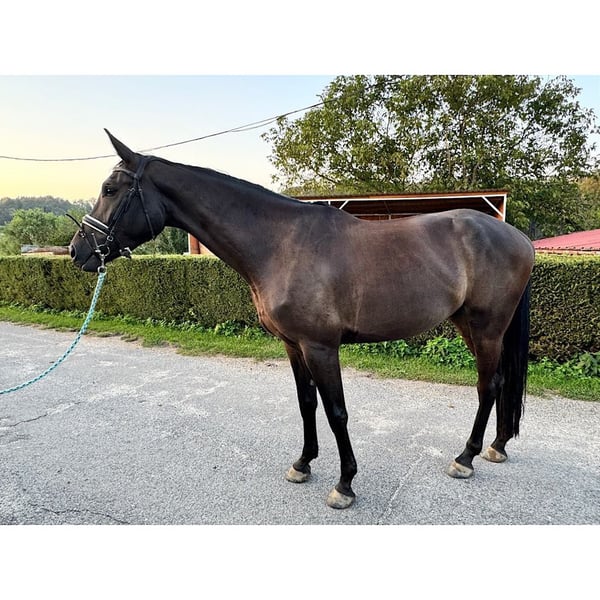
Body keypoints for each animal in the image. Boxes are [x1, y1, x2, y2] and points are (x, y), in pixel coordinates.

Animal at [69, 130, 535, 509]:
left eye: (110, 188)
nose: (78, 251)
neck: (281, 244)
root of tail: (519, 238)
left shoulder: (320, 347)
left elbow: (336, 411)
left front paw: (345, 484)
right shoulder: (293, 345)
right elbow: (306, 404)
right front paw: (303, 463)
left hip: (486, 328)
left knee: (487, 385)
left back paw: (466, 457)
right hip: (467, 325)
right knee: (498, 384)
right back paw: (496, 445)